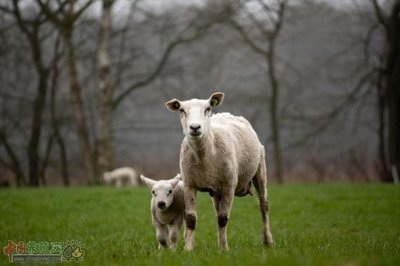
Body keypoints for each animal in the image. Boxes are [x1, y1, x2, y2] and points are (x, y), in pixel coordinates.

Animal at [164, 92, 274, 250]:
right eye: (181, 110)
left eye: (208, 109)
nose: (195, 127)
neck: (204, 155)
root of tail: (227, 114)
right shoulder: (189, 184)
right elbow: (191, 219)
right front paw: (188, 248)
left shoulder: (229, 185)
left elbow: (223, 219)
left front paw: (223, 249)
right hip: (216, 190)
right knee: (217, 211)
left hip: (260, 169)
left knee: (263, 205)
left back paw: (267, 241)